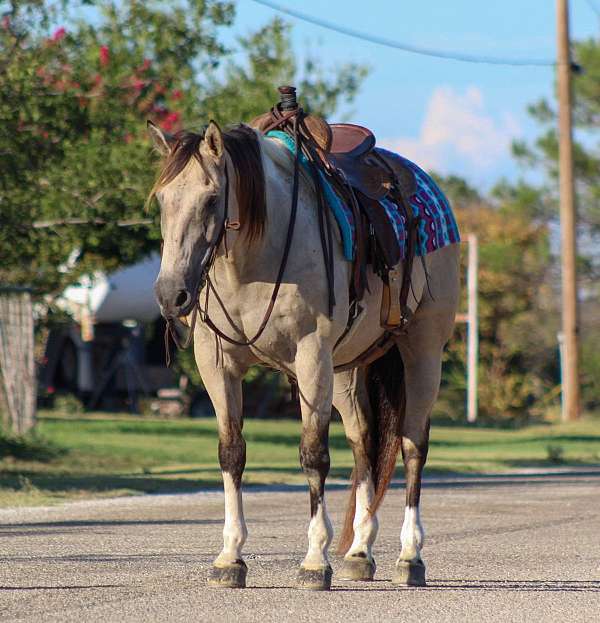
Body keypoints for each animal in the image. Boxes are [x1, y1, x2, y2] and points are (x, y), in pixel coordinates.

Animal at [149, 86, 460, 588]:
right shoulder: (217, 365)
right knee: (364, 444)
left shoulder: (311, 358)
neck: (256, 256)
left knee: (413, 444)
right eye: (162, 200)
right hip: (350, 369)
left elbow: (313, 455)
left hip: (423, 351)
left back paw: (409, 556)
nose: (170, 294)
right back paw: (359, 551)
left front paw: (315, 560)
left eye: (213, 199)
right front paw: (230, 557)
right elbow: (231, 453)